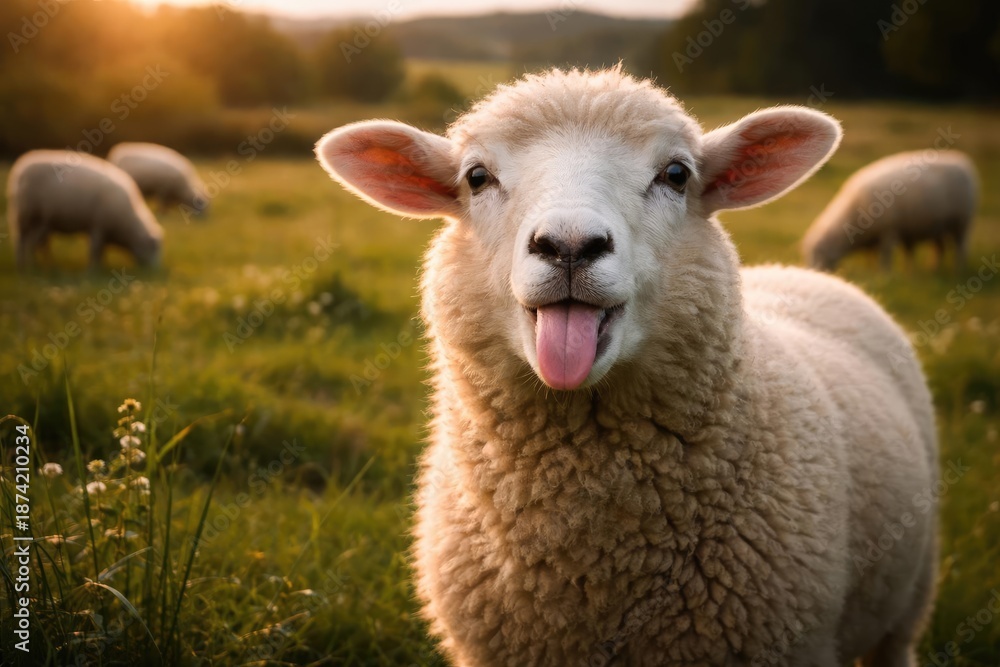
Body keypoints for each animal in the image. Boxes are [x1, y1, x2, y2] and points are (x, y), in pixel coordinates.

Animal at [7, 150, 164, 269]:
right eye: (153, 249)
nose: (155, 272)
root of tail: (19, 169)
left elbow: (101, 252)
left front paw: (101, 267)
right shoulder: (98, 226)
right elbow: (95, 251)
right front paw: (94, 271)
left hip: (41, 221)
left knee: (34, 243)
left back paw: (39, 265)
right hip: (25, 215)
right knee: (22, 242)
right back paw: (27, 267)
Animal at [802, 150, 978, 271]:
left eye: (819, 253)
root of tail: (962, 161)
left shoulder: (888, 231)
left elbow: (885, 256)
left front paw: (885, 274)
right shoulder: (872, 237)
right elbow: (871, 255)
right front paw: (871, 270)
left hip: (962, 221)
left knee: (961, 247)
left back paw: (958, 270)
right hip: (938, 225)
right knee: (939, 248)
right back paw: (933, 269)